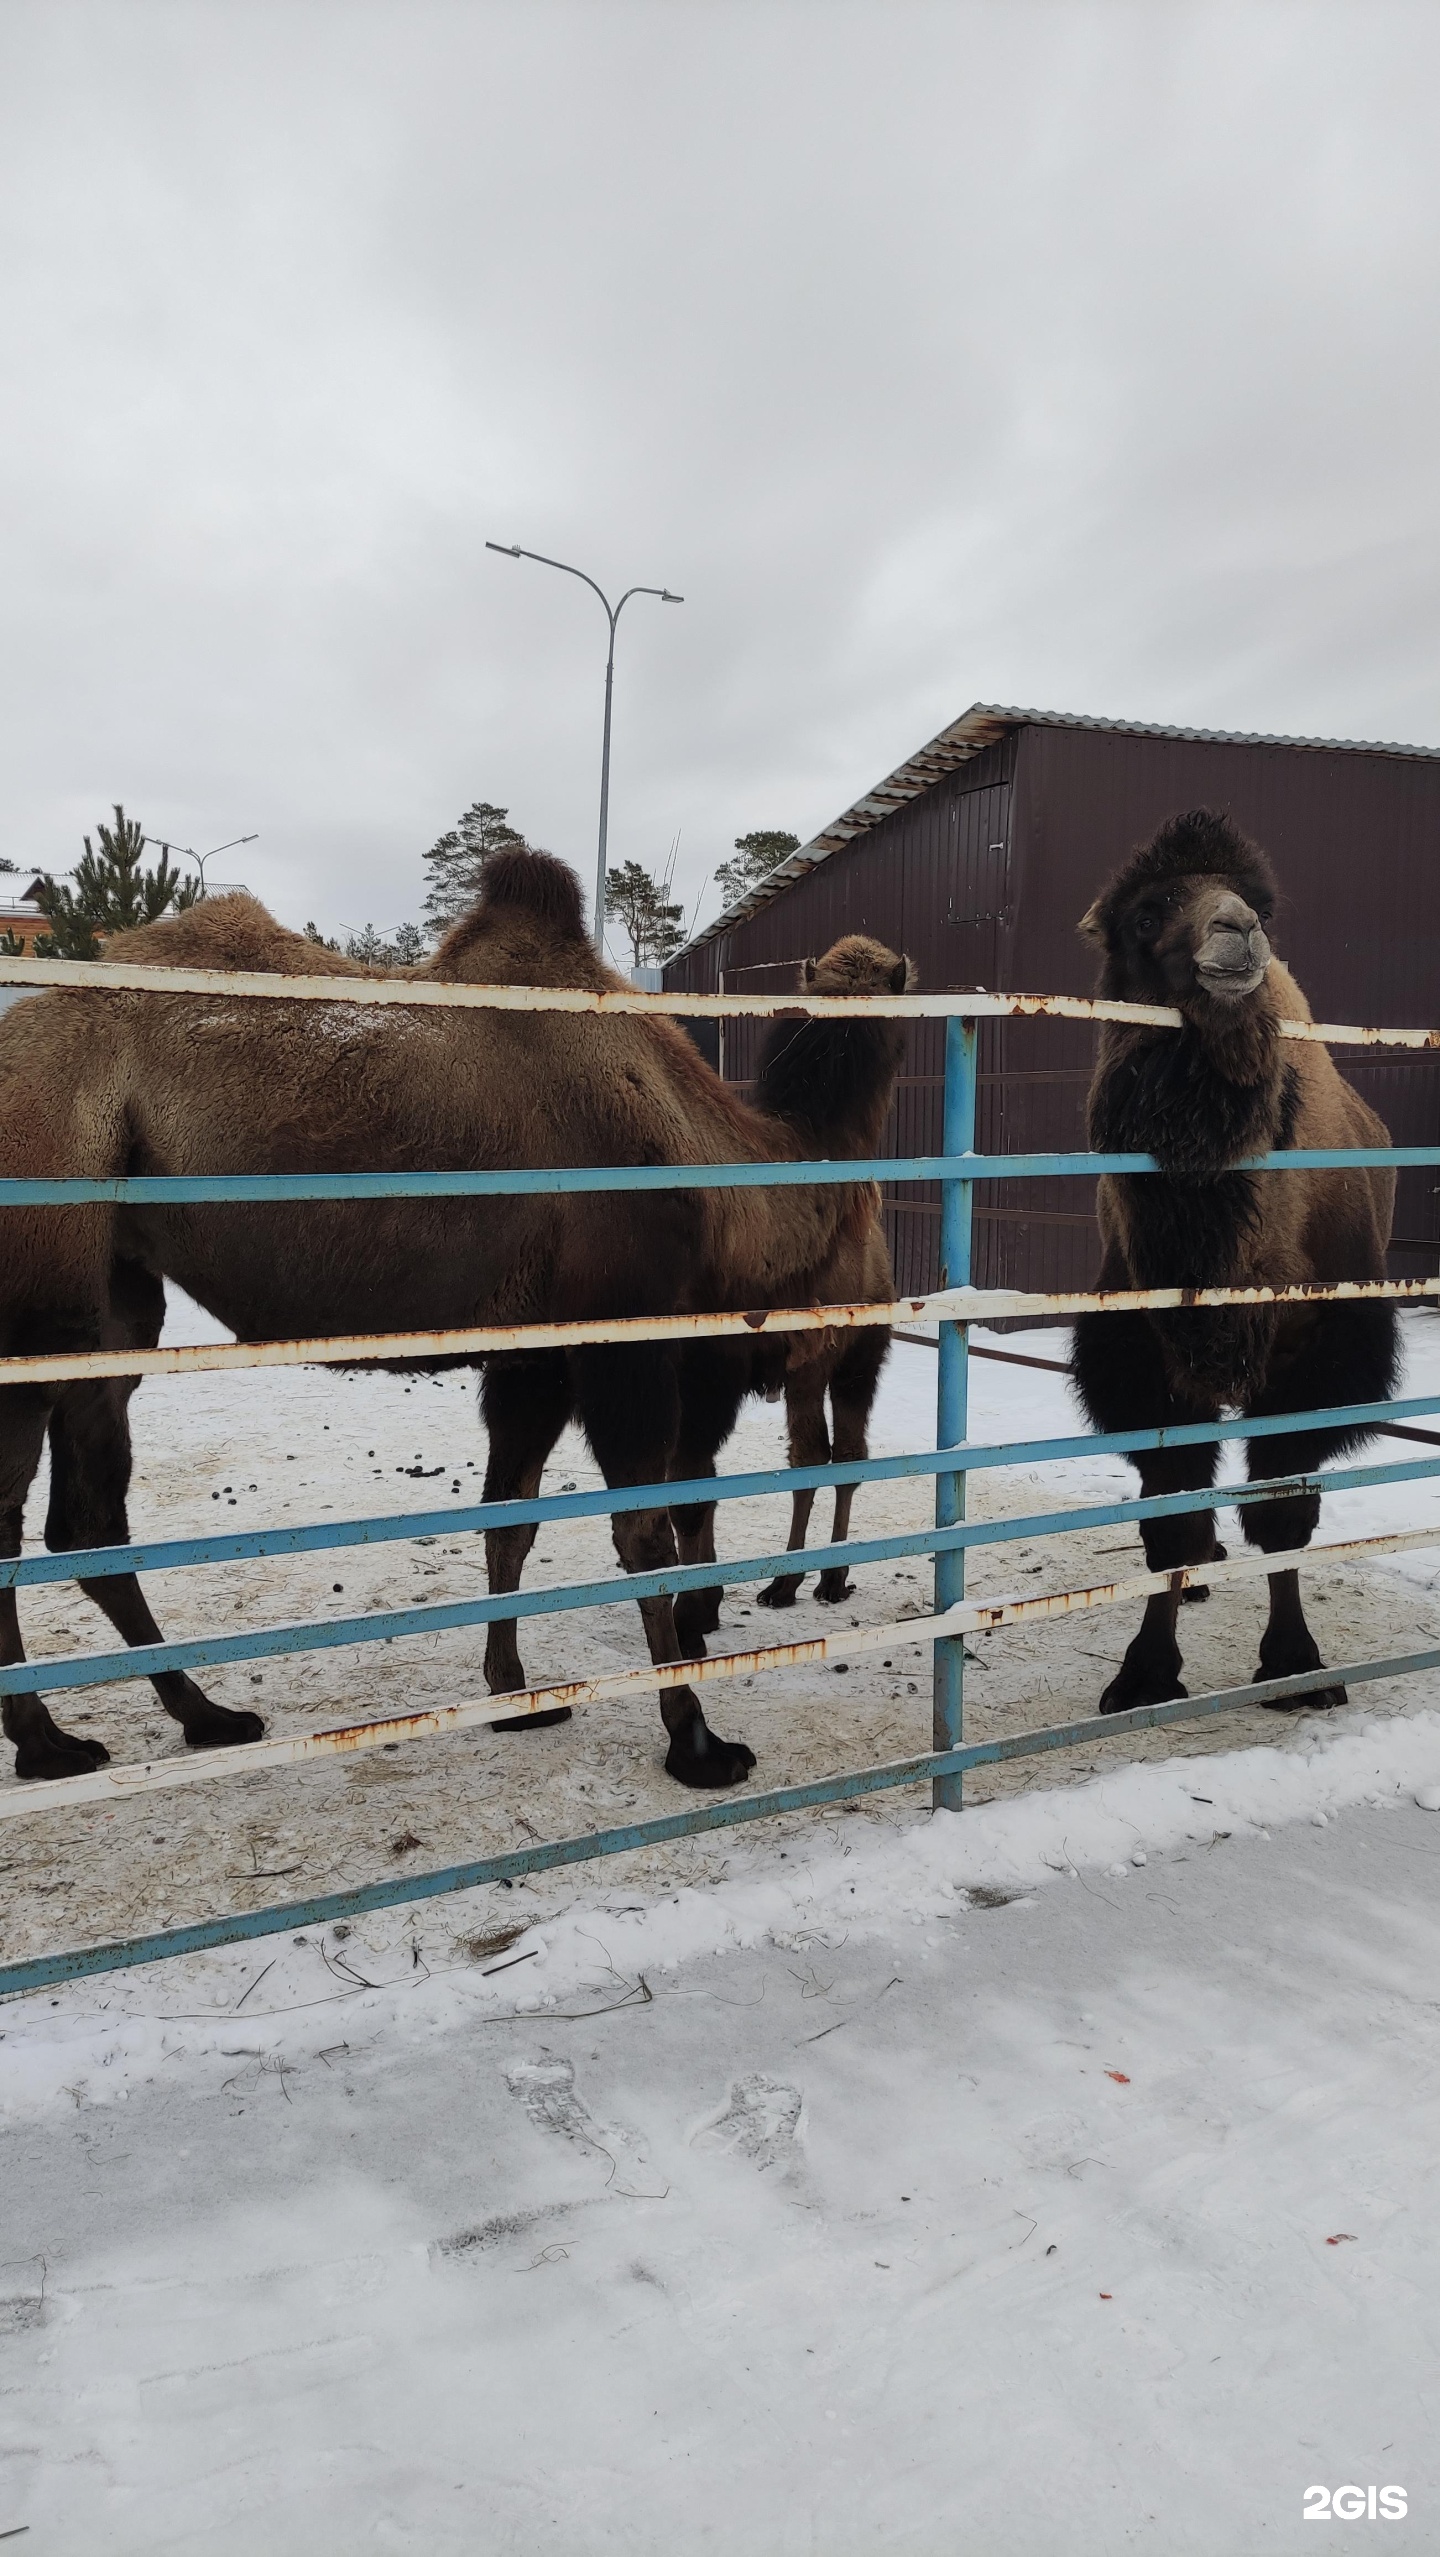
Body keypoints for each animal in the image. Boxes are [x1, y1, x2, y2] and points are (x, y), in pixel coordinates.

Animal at [0, 848, 900, 1789]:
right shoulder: (620, 1332)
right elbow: (643, 1530)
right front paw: (696, 1740)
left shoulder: (535, 1353)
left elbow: (512, 1518)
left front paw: (514, 1695)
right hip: (36, 1264)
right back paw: (50, 1741)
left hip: (113, 1293)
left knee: (88, 1516)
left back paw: (201, 1715)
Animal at [1069, 797, 1401, 1718]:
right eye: (1149, 912)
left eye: (1260, 904)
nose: (1237, 929)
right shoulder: (1148, 1354)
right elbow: (1172, 1517)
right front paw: (1144, 1673)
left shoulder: (1314, 1357)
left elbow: (1282, 1516)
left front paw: (1294, 1666)